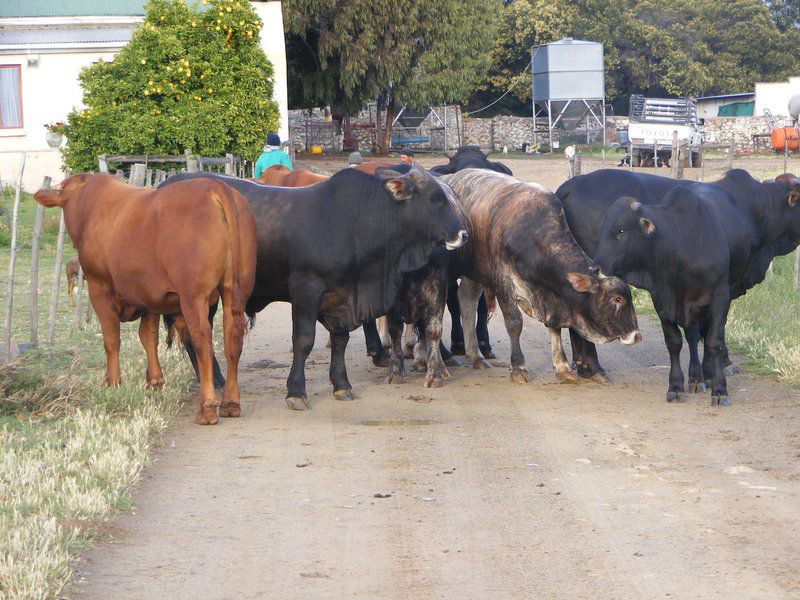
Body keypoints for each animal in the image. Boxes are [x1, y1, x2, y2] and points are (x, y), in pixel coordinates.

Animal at [34, 175, 256, 426]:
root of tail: (213, 186)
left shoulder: (99, 287)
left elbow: (111, 339)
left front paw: (113, 383)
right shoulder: (149, 295)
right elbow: (149, 337)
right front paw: (155, 382)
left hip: (193, 297)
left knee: (202, 342)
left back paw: (207, 409)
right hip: (234, 292)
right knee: (232, 339)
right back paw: (230, 403)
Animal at [159, 166, 466, 410]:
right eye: (435, 199)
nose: (464, 235)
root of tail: (167, 186)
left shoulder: (342, 297)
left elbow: (340, 340)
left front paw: (341, 385)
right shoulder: (306, 291)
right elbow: (304, 341)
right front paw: (296, 392)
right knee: (195, 336)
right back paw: (218, 381)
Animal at [440, 168, 640, 384]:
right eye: (617, 299)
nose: (637, 335)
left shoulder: (553, 299)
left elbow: (555, 328)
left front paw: (562, 366)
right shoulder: (503, 284)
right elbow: (514, 323)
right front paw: (518, 367)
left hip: (475, 273)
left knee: (467, 301)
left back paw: (476, 356)